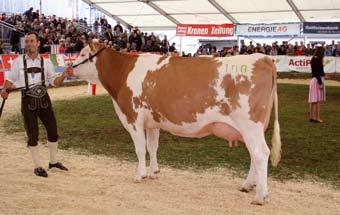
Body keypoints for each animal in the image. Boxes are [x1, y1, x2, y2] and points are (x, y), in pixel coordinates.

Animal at [71, 41, 282, 205]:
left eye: (82, 53)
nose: (70, 67)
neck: (124, 72)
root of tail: (263, 58)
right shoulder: (152, 122)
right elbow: (152, 147)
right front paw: (154, 172)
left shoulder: (133, 118)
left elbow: (140, 149)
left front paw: (140, 175)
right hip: (253, 128)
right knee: (254, 154)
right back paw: (247, 186)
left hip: (250, 124)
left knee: (260, 153)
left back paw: (260, 196)